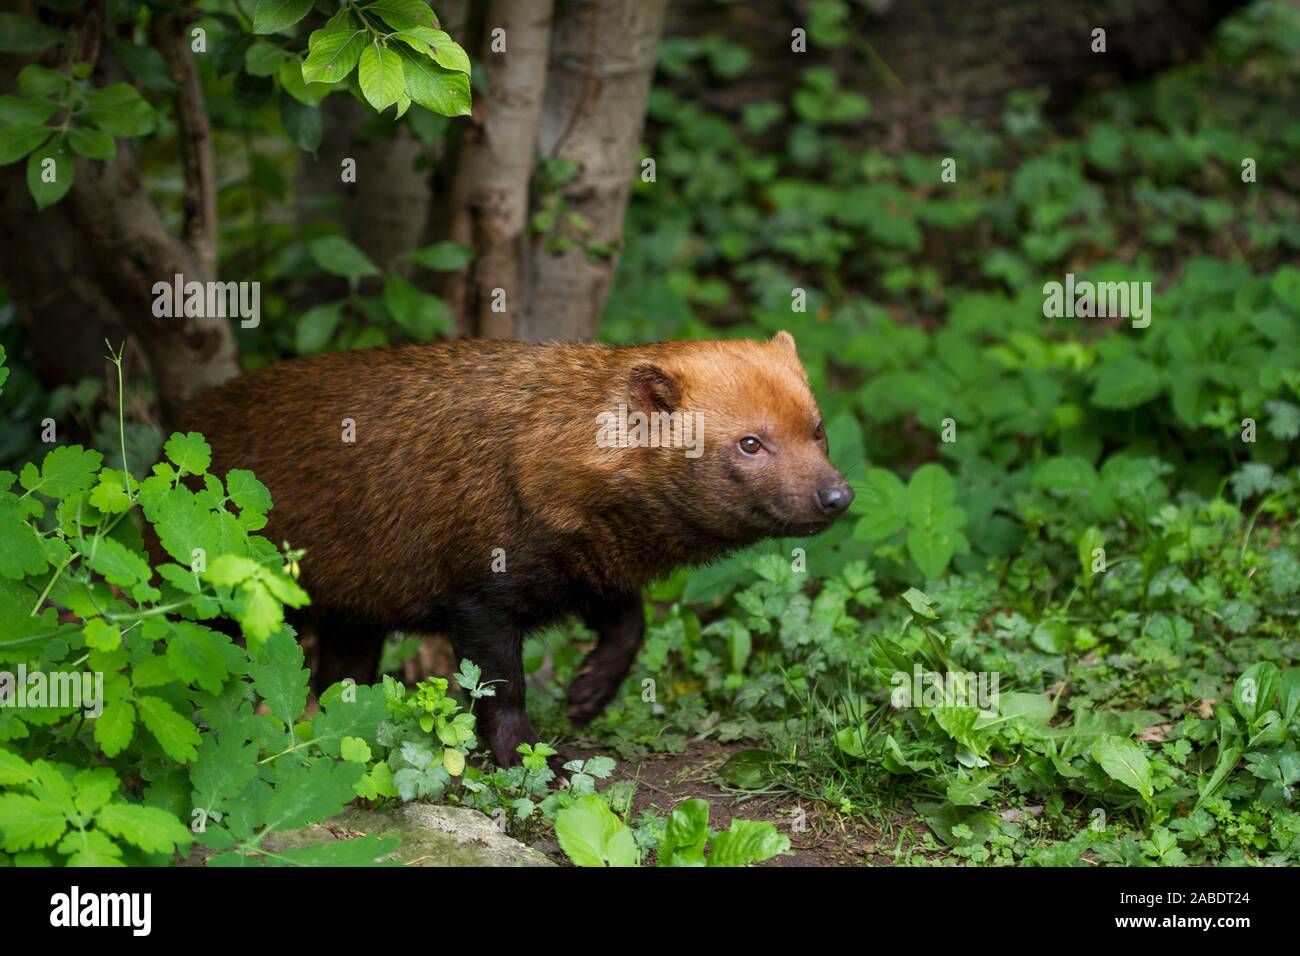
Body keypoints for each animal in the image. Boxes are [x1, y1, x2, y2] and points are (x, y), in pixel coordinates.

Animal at [178, 335, 857, 770]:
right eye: (750, 443)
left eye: (818, 427)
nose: (839, 496)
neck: (545, 459)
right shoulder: (479, 597)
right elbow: (501, 690)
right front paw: (529, 760)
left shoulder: (585, 576)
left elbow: (630, 626)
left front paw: (589, 693)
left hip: (355, 618)